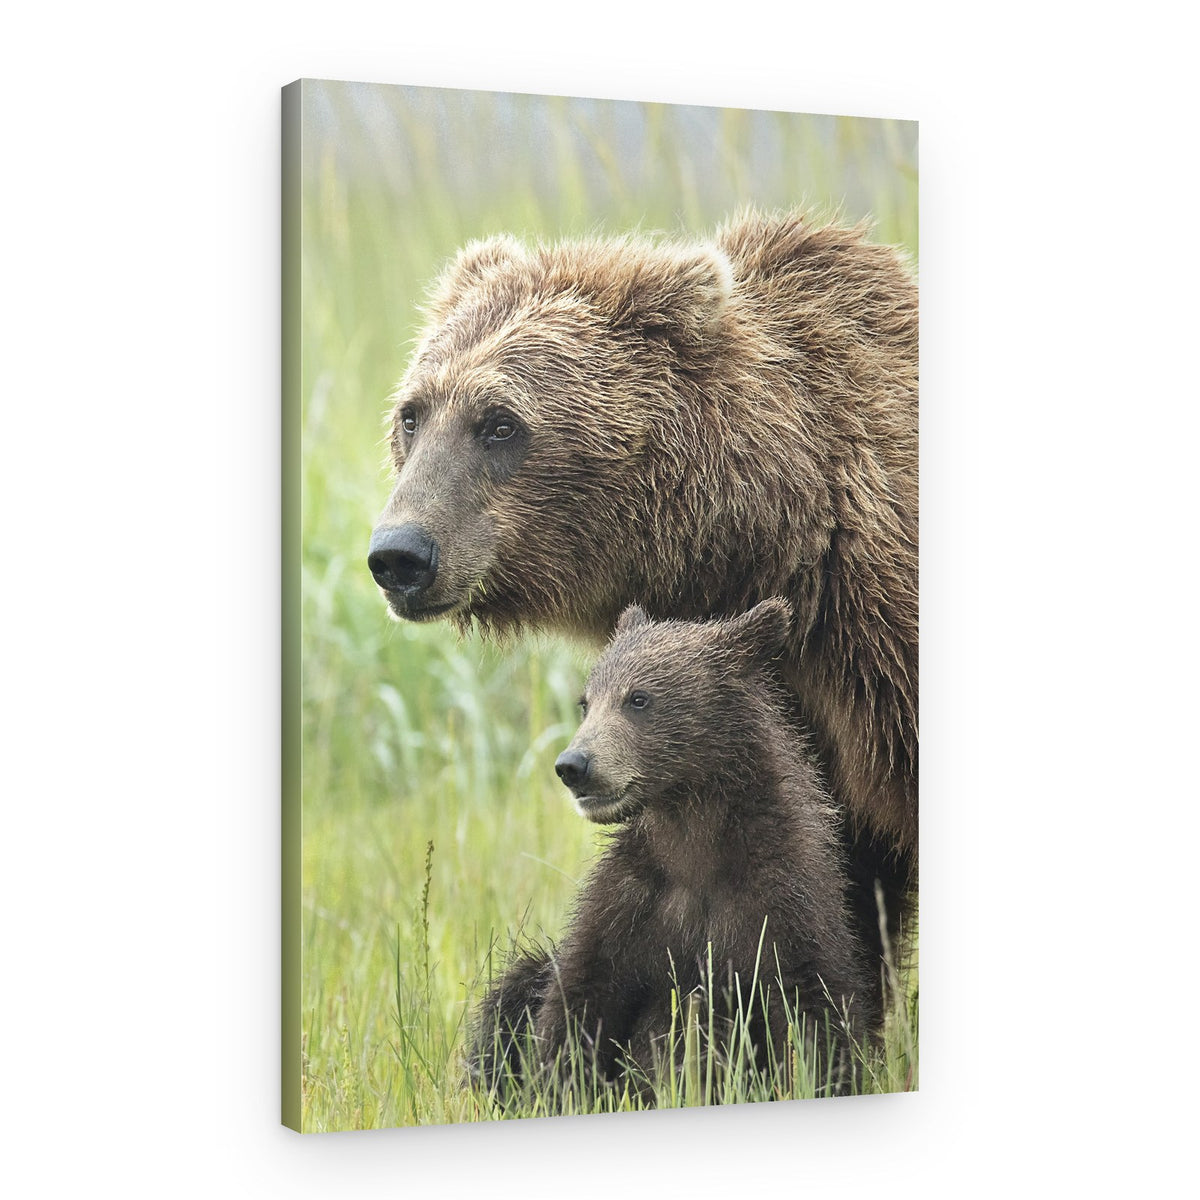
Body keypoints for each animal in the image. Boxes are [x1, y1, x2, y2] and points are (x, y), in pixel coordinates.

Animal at [469, 601, 880, 1101]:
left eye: (637, 699)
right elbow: (577, 1004)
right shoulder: (629, 901)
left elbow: (811, 1013)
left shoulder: (780, 901)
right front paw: (556, 1086)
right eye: (586, 702)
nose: (573, 765)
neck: (693, 841)